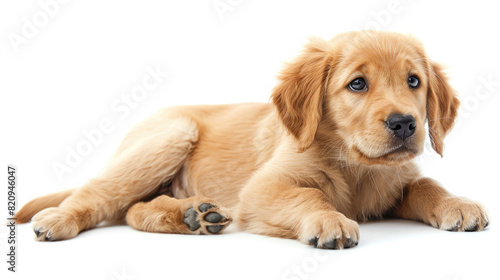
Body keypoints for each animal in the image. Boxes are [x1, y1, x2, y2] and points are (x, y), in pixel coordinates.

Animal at [14, 31, 488, 249]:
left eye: (414, 82)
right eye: (357, 84)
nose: (405, 124)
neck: (357, 167)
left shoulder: (398, 179)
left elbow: (426, 185)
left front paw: (457, 204)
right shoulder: (263, 188)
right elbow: (309, 196)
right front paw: (329, 220)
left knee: (132, 209)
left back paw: (194, 215)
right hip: (171, 135)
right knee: (100, 194)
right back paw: (59, 220)